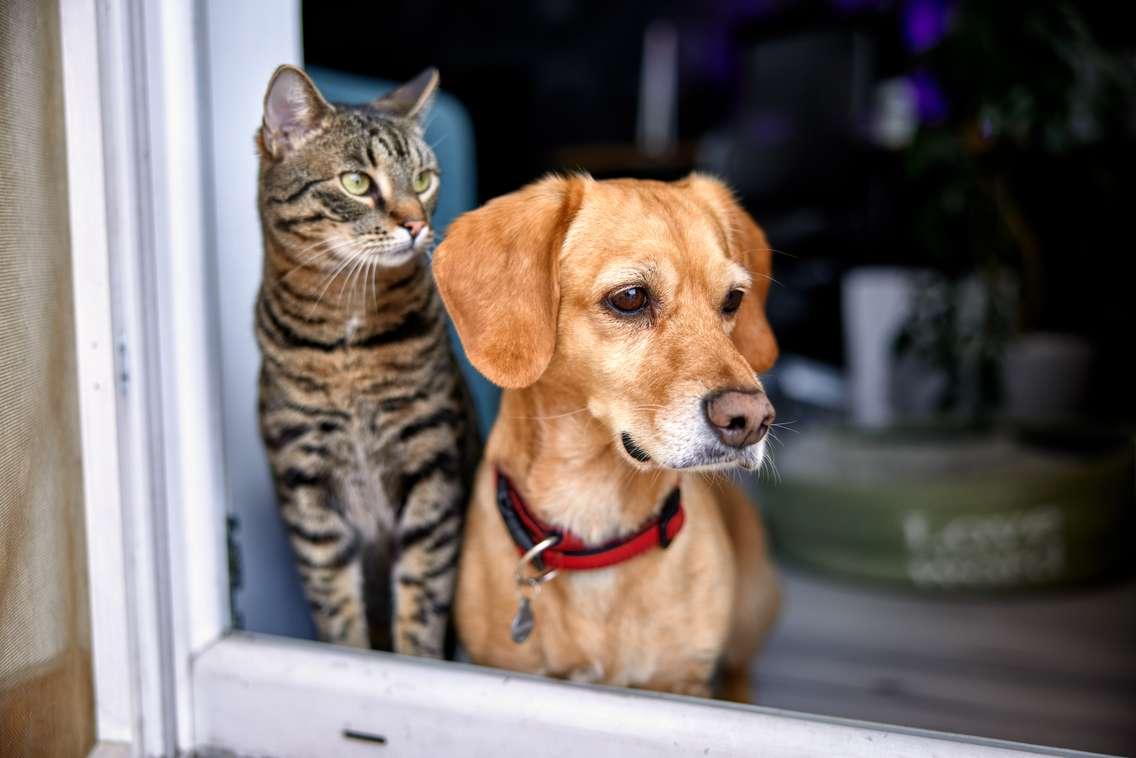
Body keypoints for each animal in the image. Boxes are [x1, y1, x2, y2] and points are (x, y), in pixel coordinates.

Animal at [255, 66, 472, 659]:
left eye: (423, 180)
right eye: (357, 183)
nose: (416, 225)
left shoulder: (432, 461)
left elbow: (423, 594)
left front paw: (416, 664)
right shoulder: (305, 478)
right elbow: (334, 600)